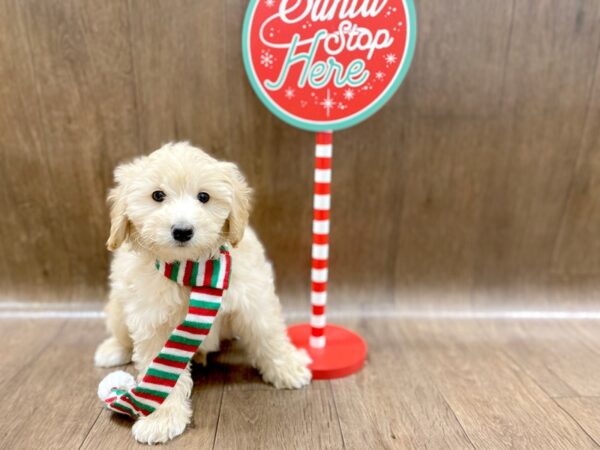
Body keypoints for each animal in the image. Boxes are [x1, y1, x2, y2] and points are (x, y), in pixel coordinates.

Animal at [96, 143, 312, 442]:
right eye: (158, 196)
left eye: (204, 197)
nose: (182, 230)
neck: (192, 269)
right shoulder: (154, 322)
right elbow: (159, 371)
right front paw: (161, 419)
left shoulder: (253, 298)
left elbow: (268, 334)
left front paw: (288, 367)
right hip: (118, 306)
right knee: (120, 332)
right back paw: (112, 349)